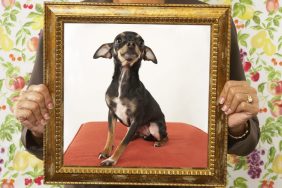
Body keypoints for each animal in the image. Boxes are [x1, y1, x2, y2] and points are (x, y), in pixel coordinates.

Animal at [93, 30, 167, 166]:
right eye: (118, 40)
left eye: (141, 42)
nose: (131, 43)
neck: (124, 78)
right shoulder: (111, 113)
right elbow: (110, 134)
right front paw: (106, 150)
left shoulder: (135, 120)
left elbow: (123, 143)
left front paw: (111, 160)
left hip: (155, 127)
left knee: (166, 136)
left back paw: (160, 142)